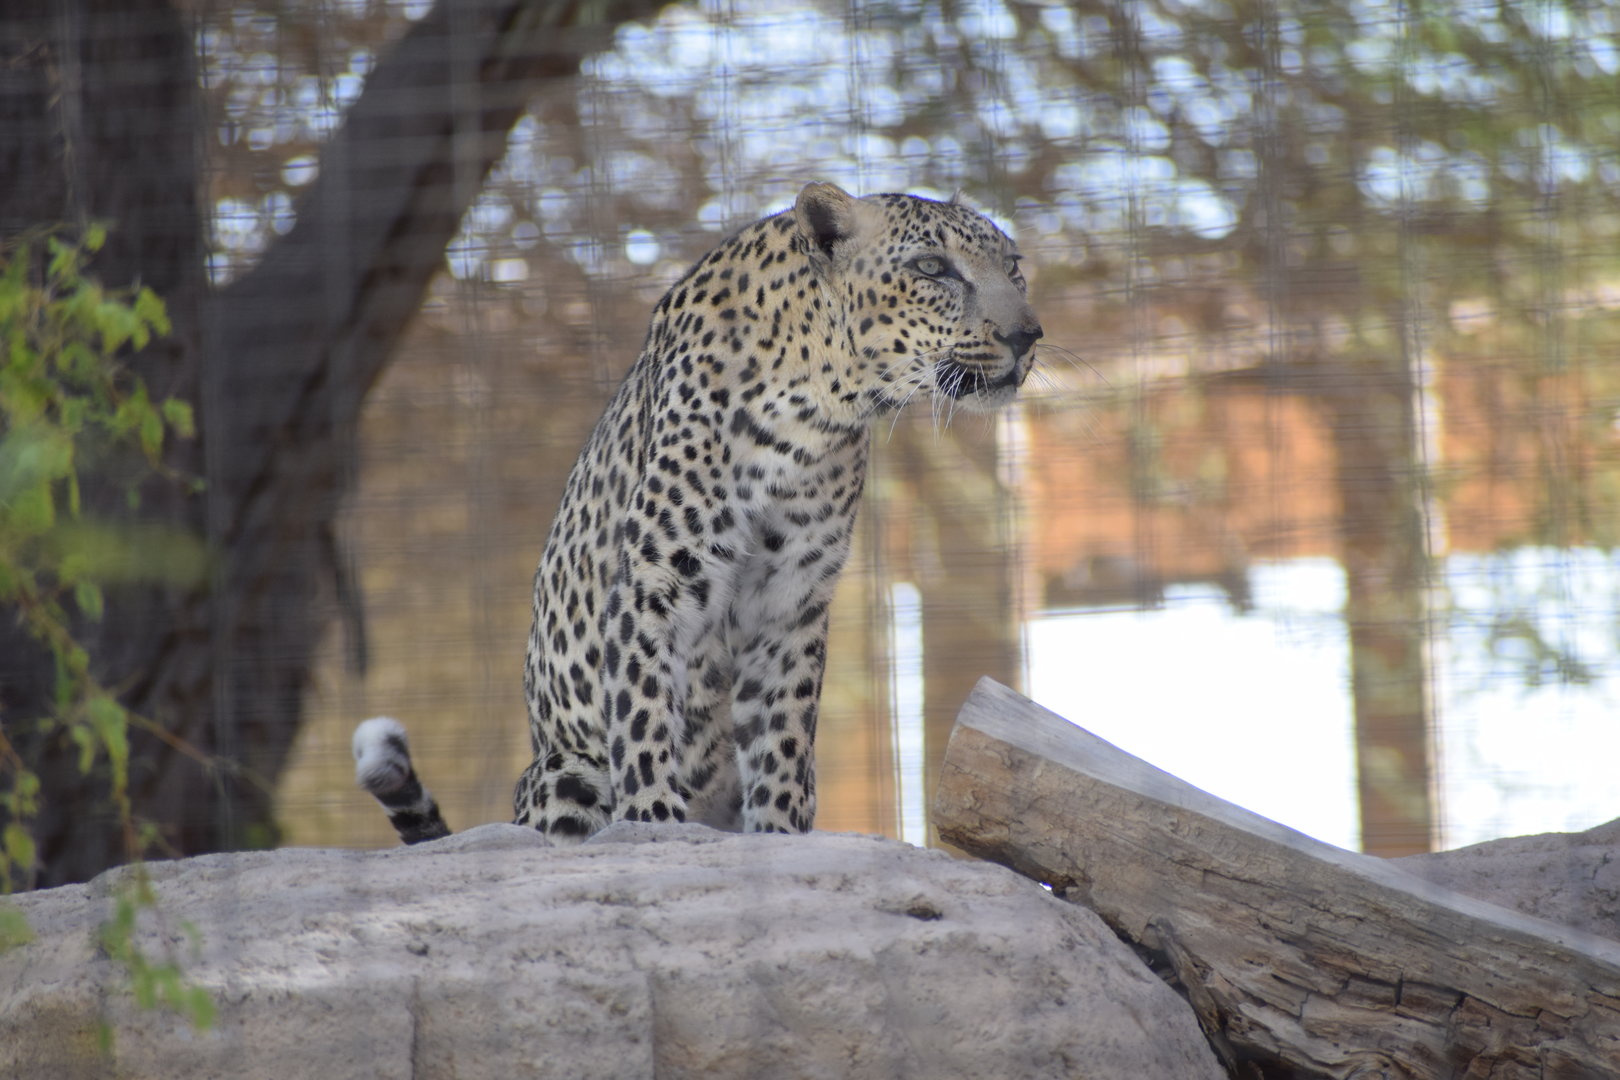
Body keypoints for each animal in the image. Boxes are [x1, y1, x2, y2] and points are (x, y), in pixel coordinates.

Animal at [353, 182, 1041, 844]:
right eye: (932, 268)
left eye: (1014, 268)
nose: (1026, 336)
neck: (817, 412)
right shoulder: (654, 585)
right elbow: (644, 712)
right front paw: (654, 822)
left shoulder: (791, 602)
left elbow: (783, 735)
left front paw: (779, 835)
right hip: (562, 771)